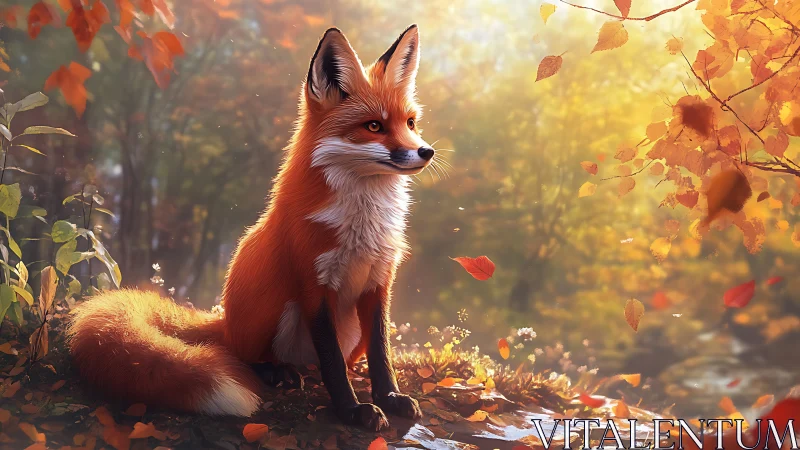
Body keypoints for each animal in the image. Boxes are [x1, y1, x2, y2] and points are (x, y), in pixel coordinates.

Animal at [67, 25, 433, 430]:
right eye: (374, 126)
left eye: (410, 123)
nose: (426, 152)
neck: (364, 223)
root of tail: (225, 321)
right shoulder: (314, 284)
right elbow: (333, 363)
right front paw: (351, 410)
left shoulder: (379, 282)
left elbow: (381, 353)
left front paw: (390, 398)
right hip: (276, 307)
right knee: (249, 356)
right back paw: (275, 372)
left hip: (347, 328)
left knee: (320, 362)